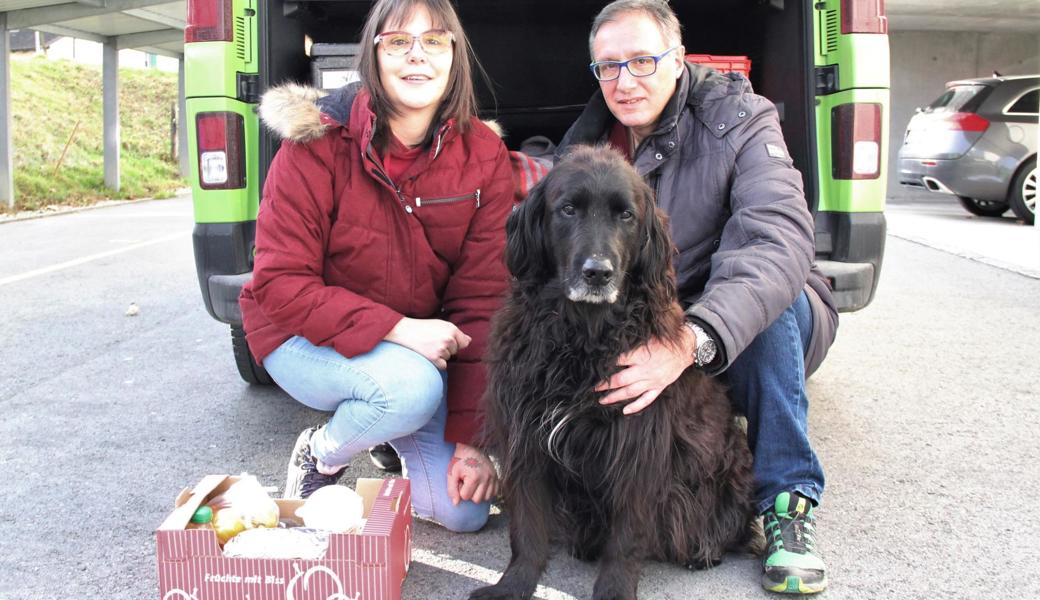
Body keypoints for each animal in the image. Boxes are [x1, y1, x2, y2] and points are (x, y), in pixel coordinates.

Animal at [472, 145, 757, 598]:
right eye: (568, 209)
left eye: (626, 215)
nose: (598, 273)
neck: (582, 337)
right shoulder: (526, 436)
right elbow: (528, 528)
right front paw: (513, 584)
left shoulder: (638, 446)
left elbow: (627, 536)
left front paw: (614, 590)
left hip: (729, 471)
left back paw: (705, 550)